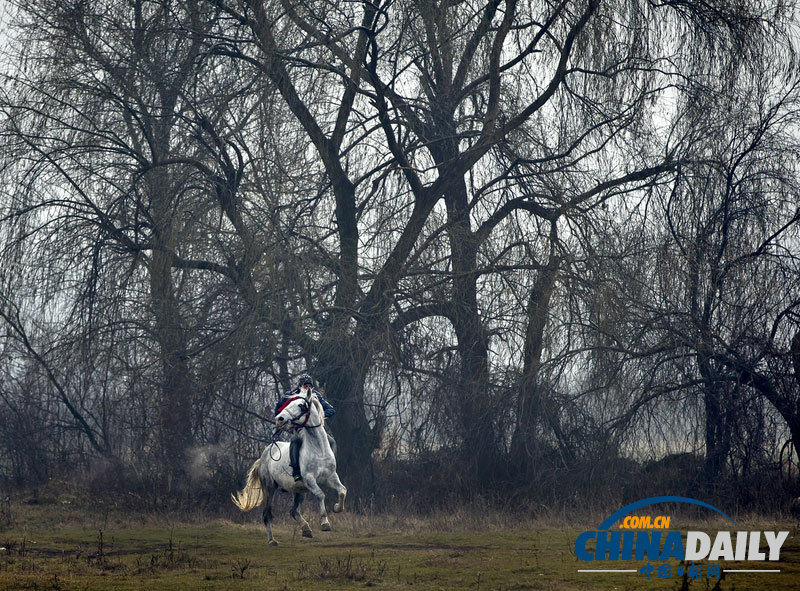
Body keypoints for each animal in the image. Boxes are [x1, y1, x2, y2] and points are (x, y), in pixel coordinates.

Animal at [231, 390, 347, 545]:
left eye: (300, 405)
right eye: (288, 402)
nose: (279, 418)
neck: (318, 449)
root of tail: (264, 455)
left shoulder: (331, 477)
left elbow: (342, 491)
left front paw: (337, 508)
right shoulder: (310, 480)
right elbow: (321, 494)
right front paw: (325, 523)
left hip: (299, 490)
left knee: (294, 511)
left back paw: (306, 529)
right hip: (269, 488)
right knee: (267, 514)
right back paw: (272, 540)